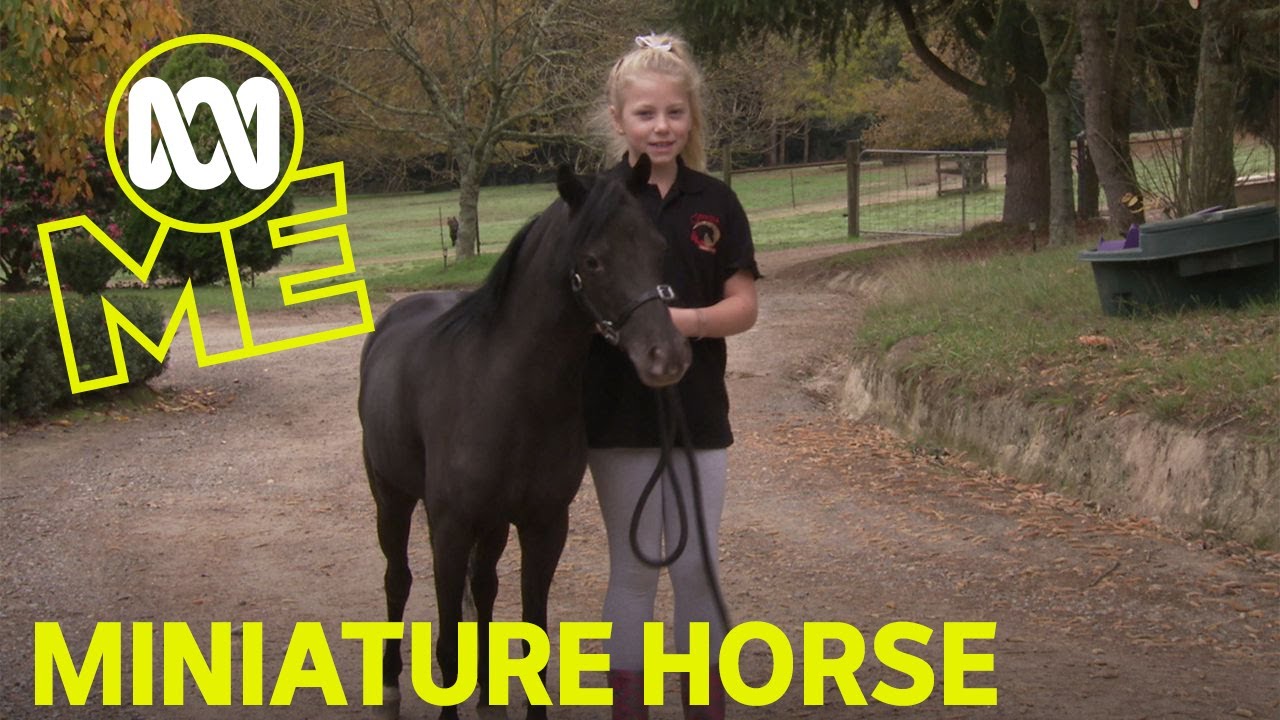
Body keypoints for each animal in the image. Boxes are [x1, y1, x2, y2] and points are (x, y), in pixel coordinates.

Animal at [358, 155, 691, 720]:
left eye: (659, 247)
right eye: (593, 261)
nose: (665, 357)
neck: (505, 390)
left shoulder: (543, 525)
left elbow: (533, 636)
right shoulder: (449, 528)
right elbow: (447, 647)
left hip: (491, 523)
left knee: (485, 586)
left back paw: (488, 696)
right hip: (393, 498)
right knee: (396, 580)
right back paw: (388, 687)